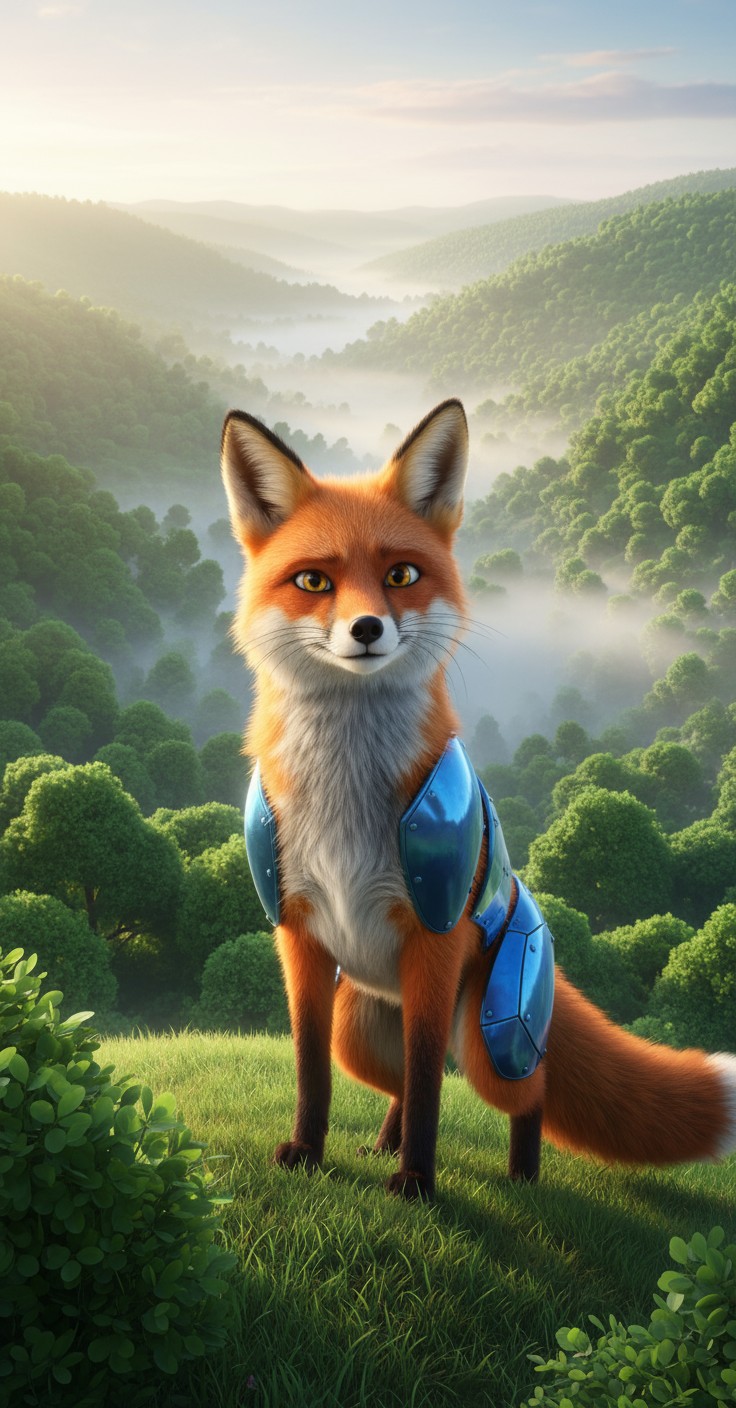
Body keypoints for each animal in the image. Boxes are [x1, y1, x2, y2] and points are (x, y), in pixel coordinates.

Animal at [220, 397, 736, 1200]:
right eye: (313, 582)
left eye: (401, 574)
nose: (366, 629)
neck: (344, 802)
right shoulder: (298, 933)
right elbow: (312, 1074)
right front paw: (308, 1151)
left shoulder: (435, 937)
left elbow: (433, 1080)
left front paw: (417, 1182)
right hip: (357, 1030)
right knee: (395, 1082)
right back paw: (382, 1142)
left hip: (496, 1037)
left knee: (529, 1091)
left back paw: (521, 1176)